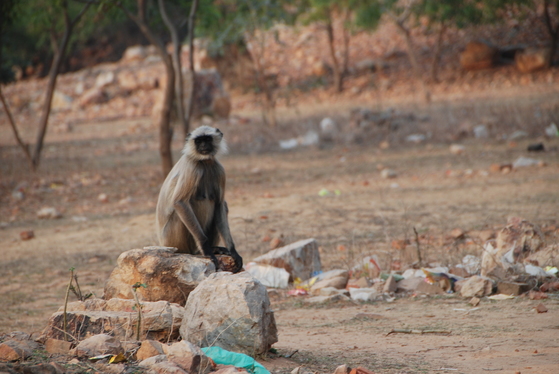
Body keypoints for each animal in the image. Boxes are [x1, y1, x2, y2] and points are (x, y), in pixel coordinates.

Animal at [158, 125, 245, 272]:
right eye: (198, 141)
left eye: (207, 139)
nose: (203, 146)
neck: (204, 162)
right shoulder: (192, 167)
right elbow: (180, 202)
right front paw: (206, 249)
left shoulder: (219, 169)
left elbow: (219, 204)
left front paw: (233, 251)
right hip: (172, 241)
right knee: (180, 211)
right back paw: (199, 251)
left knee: (222, 205)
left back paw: (215, 248)